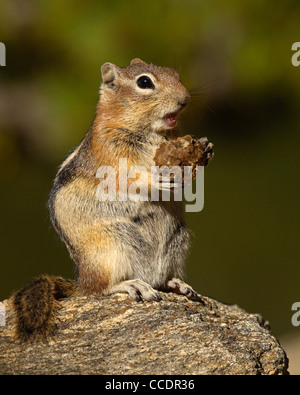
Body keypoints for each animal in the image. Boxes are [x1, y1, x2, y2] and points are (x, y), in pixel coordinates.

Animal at [9, 59, 213, 344]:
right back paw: (133, 285)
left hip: (178, 240)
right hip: (110, 249)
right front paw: (158, 179)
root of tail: (82, 283)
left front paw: (206, 147)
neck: (152, 131)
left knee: (160, 279)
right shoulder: (110, 150)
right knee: (102, 289)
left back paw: (177, 284)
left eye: (177, 75)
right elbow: (128, 176)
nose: (185, 99)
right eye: (144, 82)